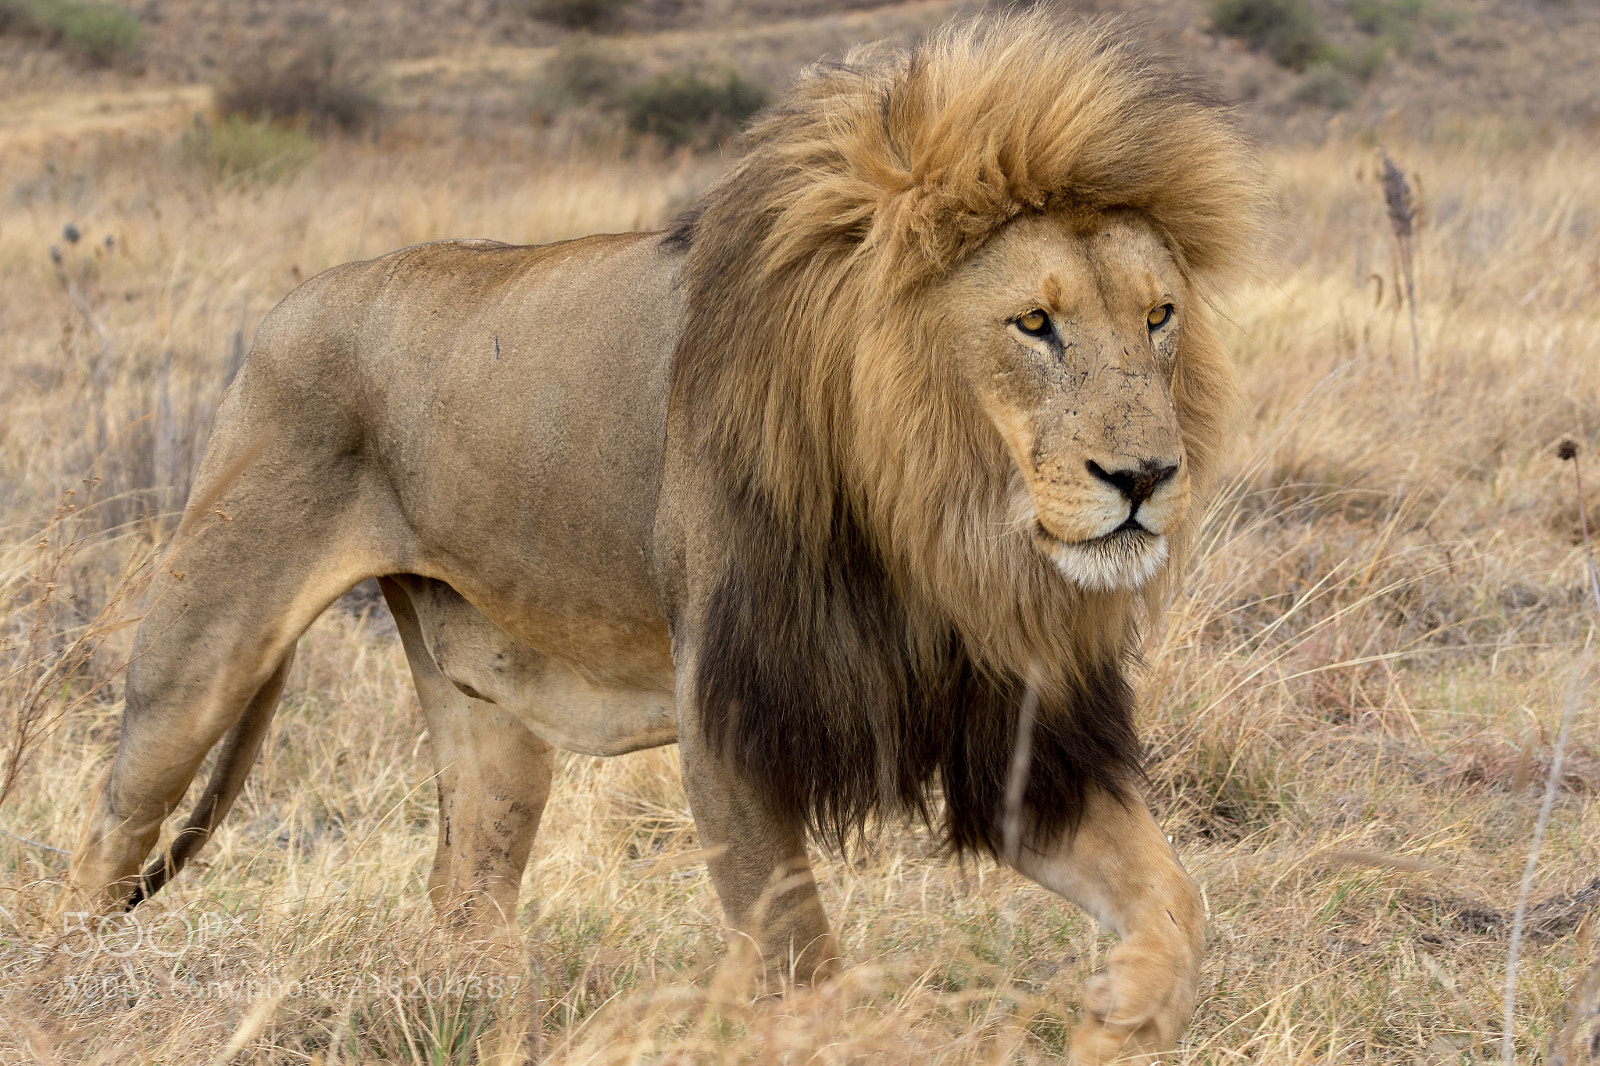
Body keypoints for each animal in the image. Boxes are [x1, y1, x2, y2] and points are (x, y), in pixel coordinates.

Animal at [65, 14, 1258, 1063]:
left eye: (1158, 317)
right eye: (1034, 324)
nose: (1145, 479)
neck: (937, 528)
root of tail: (286, 307)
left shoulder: (1005, 733)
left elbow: (1178, 903)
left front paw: (1118, 1023)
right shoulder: (727, 716)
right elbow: (799, 959)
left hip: (488, 714)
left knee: (463, 895)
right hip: (200, 651)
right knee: (104, 844)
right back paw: (61, 988)